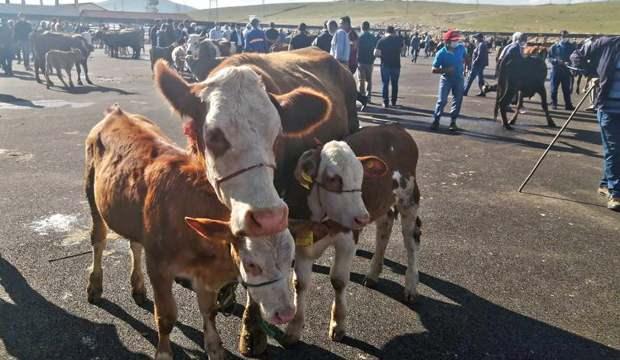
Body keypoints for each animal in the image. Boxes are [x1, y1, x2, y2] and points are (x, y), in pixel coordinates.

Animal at [85, 106, 296, 360]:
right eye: (252, 265)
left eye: (292, 261)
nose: (286, 313)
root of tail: (117, 112)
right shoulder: (159, 267)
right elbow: (166, 316)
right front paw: (164, 353)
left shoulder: (204, 275)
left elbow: (209, 311)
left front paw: (214, 348)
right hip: (91, 192)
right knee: (98, 240)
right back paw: (95, 286)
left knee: (134, 245)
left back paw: (138, 287)